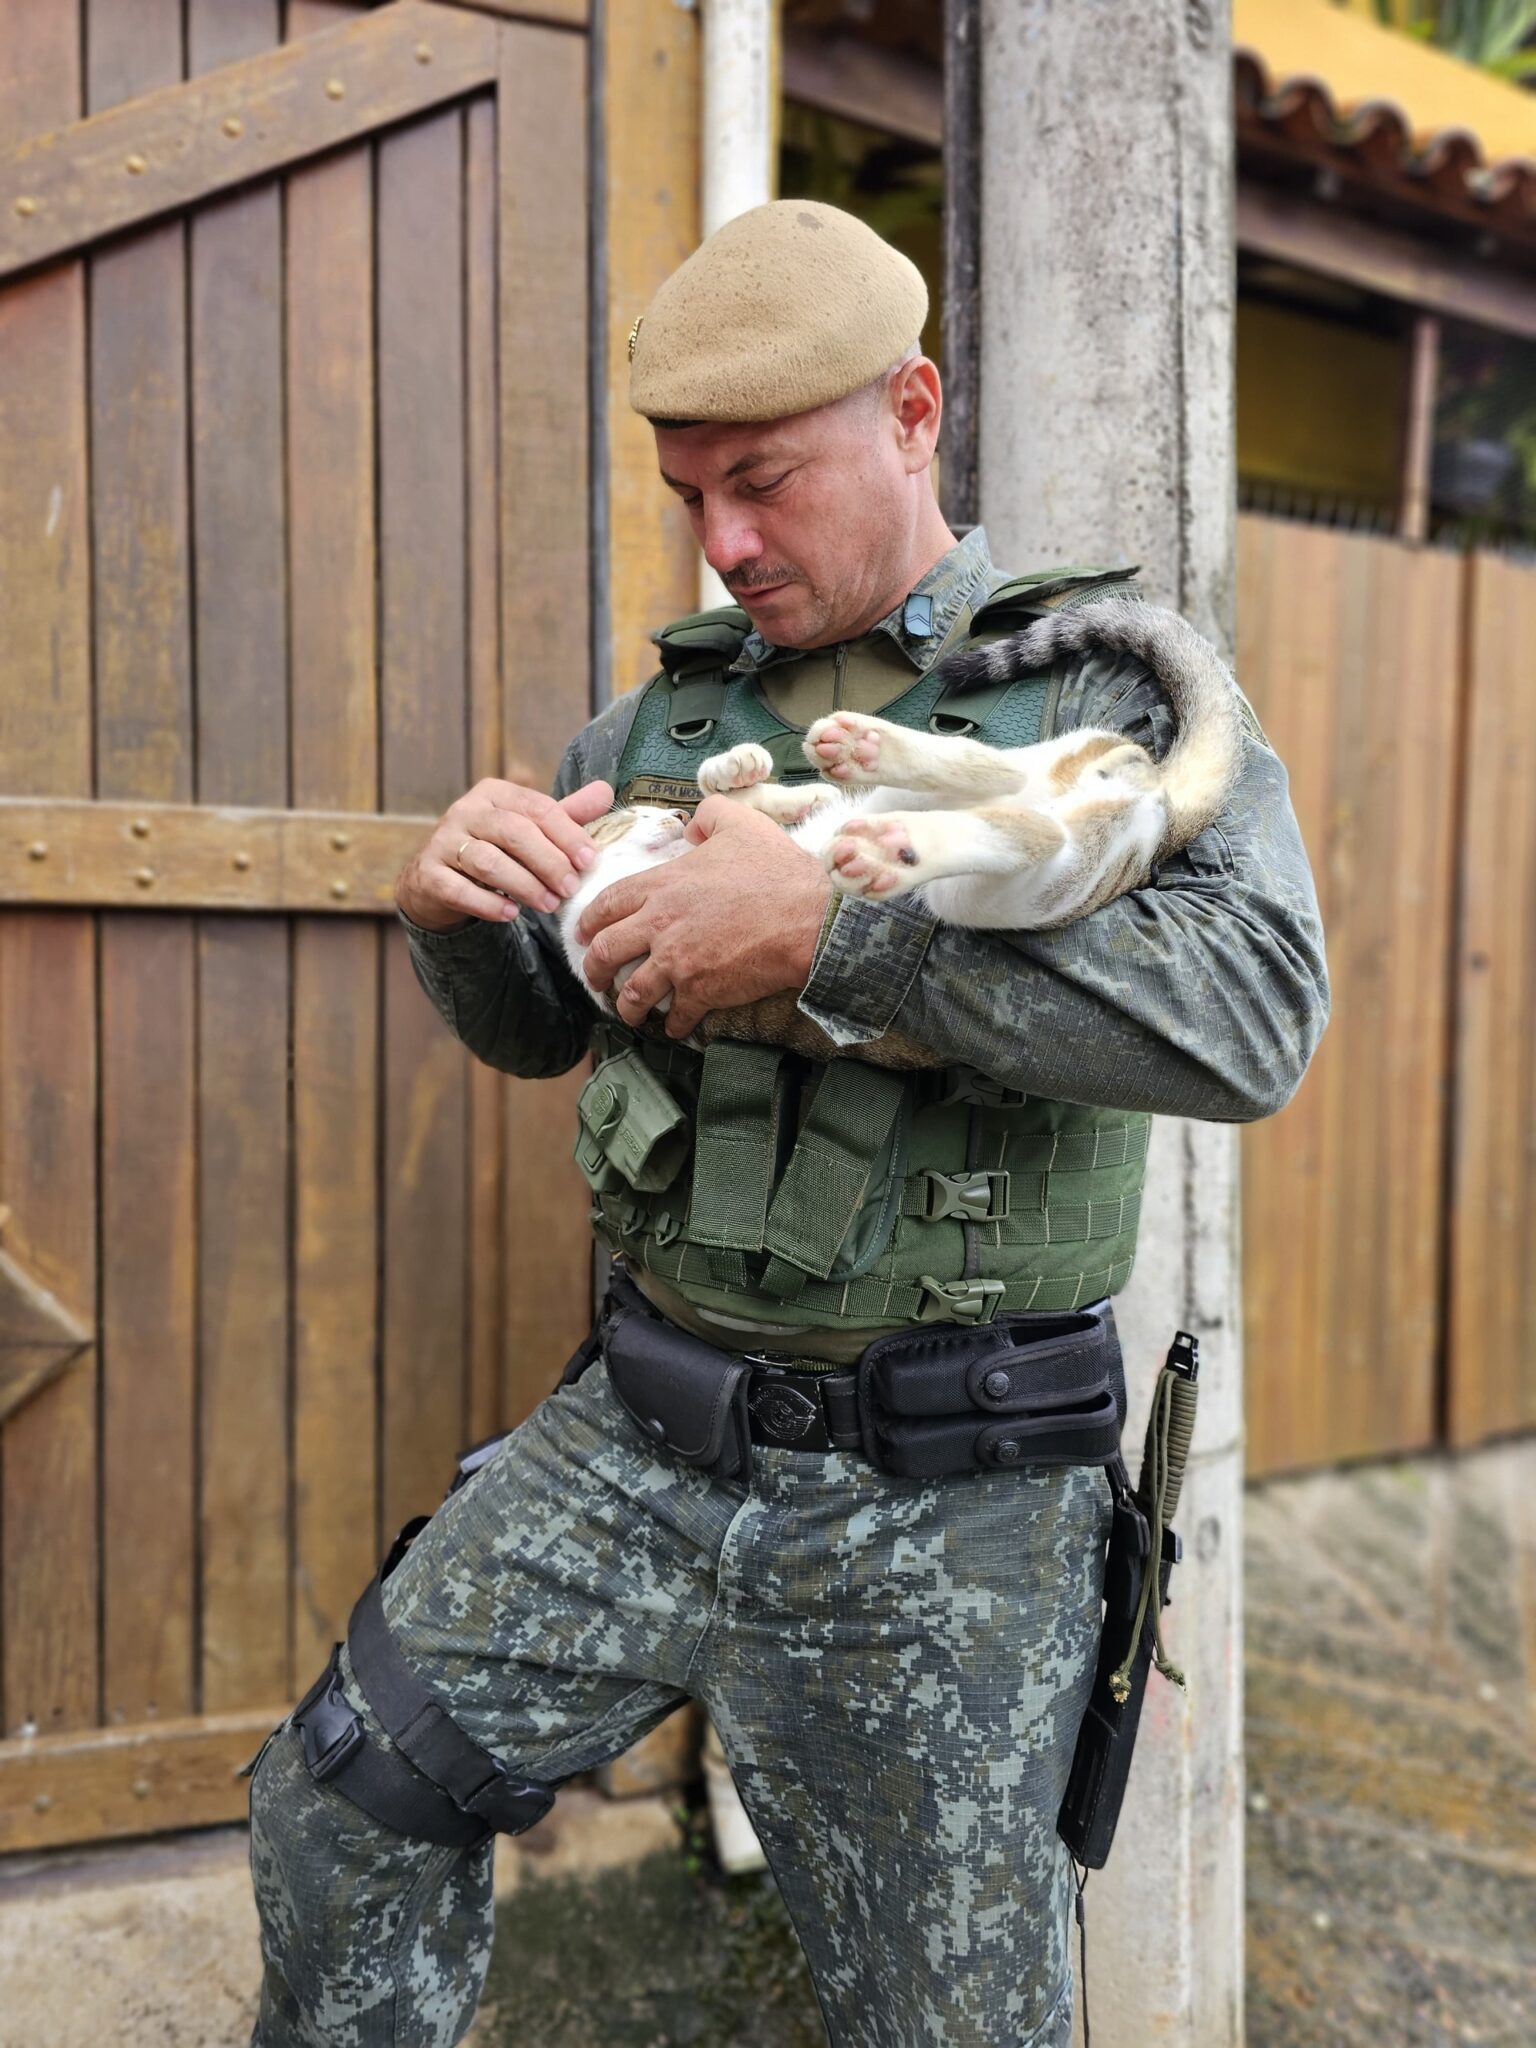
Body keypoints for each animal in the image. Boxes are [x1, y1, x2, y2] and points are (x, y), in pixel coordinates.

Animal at [565, 598, 1253, 1032]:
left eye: (641, 811)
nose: (673, 823)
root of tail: (1162, 801)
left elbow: (743, 798)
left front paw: (736, 768)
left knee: (1004, 784)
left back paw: (865, 754)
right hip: (1009, 884)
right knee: (1028, 822)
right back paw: (887, 830)